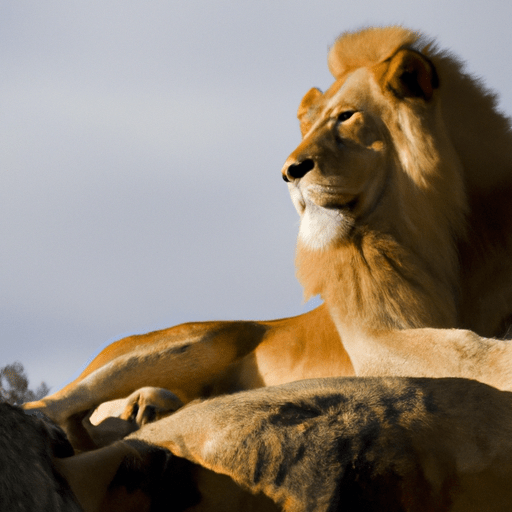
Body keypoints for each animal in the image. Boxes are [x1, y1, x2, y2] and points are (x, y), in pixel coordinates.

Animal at [23, 25, 512, 448]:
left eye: (346, 117)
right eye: (309, 128)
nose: (290, 172)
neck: (440, 227)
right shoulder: (375, 339)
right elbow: (464, 348)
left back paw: (149, 409)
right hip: (194, 339)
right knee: (55, 402)